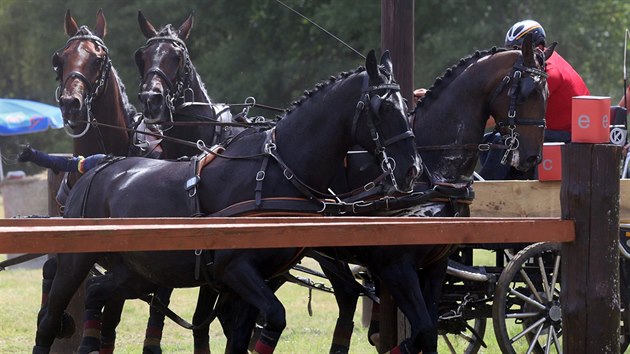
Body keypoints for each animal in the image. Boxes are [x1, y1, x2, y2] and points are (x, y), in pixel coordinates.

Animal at [32, 49, 422, 354]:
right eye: (383, 108)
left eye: (407, 105)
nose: (411, 168)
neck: (276, 171)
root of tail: (94, 167)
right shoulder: (237, 270)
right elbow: (272, 318)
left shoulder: (257, 278)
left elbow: (241, 336)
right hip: (76, 263)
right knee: (51, 316)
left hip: (136, 272)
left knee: (97, 294)